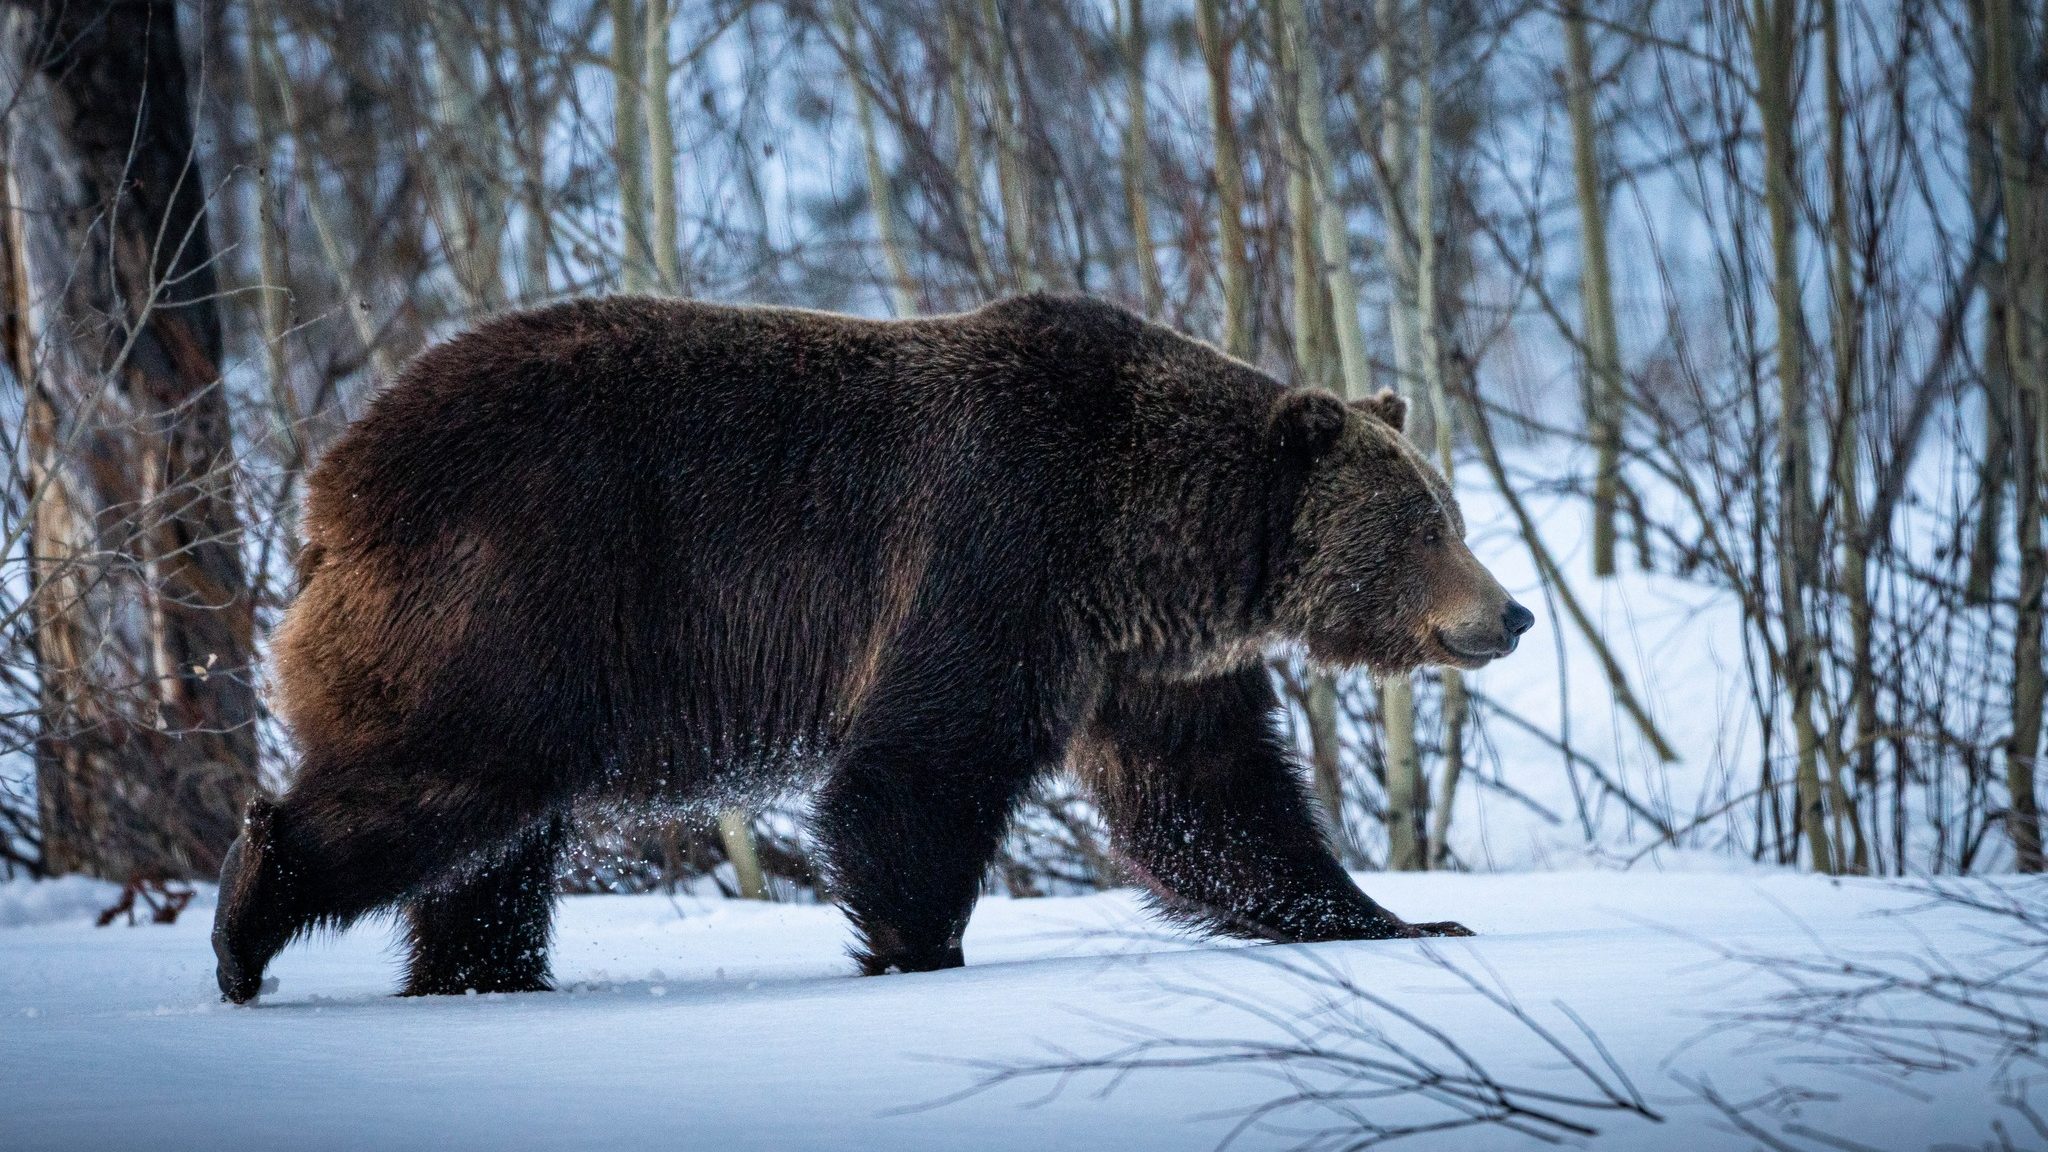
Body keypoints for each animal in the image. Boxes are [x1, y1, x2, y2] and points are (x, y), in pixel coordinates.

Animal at [212, 293, 1532, 1003]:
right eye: (1427, 523)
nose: (1510, 612)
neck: (1150, 542)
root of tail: (334, 477)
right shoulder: (998, 556)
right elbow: (919, 767)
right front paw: (920, 950)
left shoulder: (1142, 665)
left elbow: (1216, 803)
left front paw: (1399, 922)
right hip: (514, 596)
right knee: (444, 782)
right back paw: (244, 923)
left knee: (493, 849)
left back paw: (480, 976)